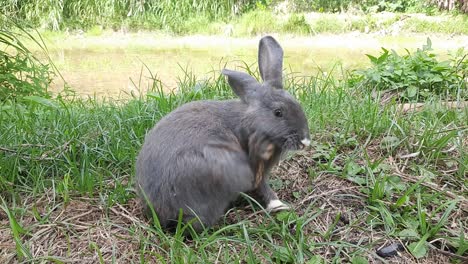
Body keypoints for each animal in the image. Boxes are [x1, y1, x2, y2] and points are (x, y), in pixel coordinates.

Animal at [135, 35, 310, 231]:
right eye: (278, 113)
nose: (305, 141)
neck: (251, 121)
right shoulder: (257, 170)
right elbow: (264, 188)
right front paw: (278, 206)